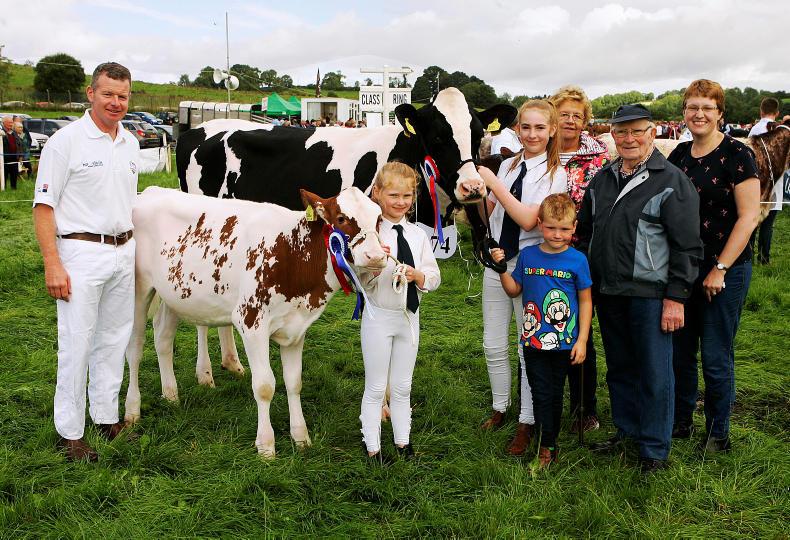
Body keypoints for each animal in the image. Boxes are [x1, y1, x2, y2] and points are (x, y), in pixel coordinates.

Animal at [124, 186, 387, 456]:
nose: (377, 256)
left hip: (173, 296)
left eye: (379, 218)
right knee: (134, 350)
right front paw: (266, 446)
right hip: (138, 290)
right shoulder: (250, 322)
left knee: (163, 339)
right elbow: (264, 386)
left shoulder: (296, 328)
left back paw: (171, 395)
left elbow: (294, 382)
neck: (292, 253)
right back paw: (132, 410)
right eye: (341, 218)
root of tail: (150, 191)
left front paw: (300, 437)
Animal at [175, 87, 516, 384]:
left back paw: (232, 362)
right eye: (437, 136)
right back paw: (205, 373)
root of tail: (196, 130)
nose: (473, 187)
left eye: (478, 135)